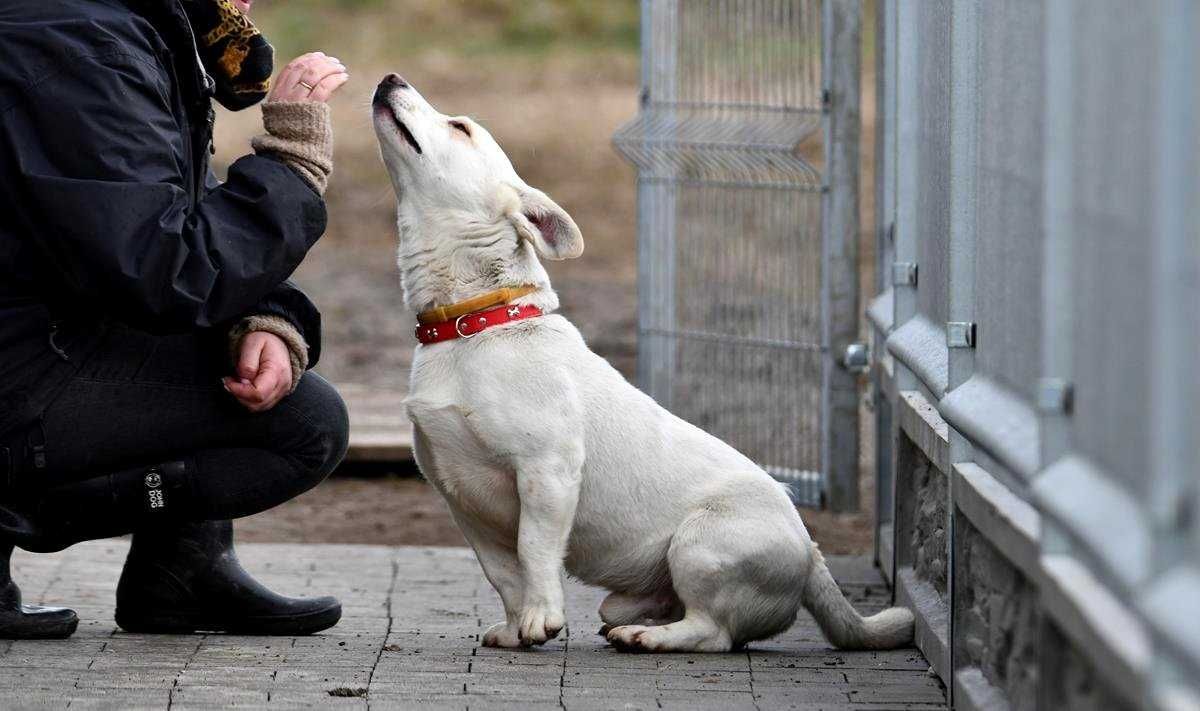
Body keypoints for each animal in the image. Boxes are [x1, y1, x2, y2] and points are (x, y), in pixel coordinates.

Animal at [369, 75, 912, 653]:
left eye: (460, 127)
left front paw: (542, 618)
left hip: (700, 543)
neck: (473, 326)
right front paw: (517, 627)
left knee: (714, 632)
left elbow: (535, 551)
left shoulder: (547, 471)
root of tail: (812, 555)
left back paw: (648, 637)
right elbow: (503, 572)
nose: (390, 79)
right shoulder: (461, 501)